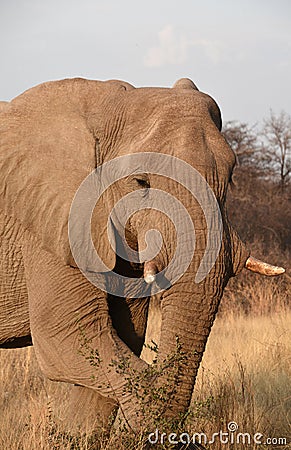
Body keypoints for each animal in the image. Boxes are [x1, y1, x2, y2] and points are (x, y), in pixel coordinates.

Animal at [0, 76, 286, 432]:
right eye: (140, 182)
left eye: (231, 177)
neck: (109, 103)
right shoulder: (52, 223)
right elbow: (68, 337)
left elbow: (118, 341)